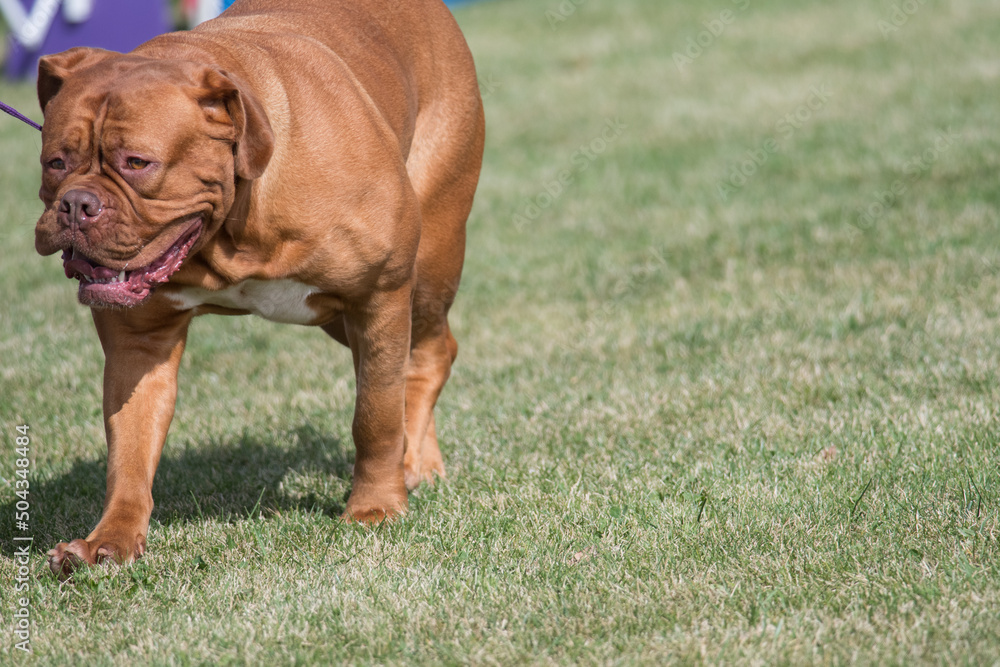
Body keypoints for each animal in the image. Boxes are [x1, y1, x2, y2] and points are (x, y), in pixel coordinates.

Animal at [32, 0, 484, 580]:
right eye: (55, 162)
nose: (75, 204)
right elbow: (129, 450)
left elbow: (375, 416)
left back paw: (415, 464)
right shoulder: (138, 345)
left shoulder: (380, 296)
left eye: (137, 163)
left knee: (429, 355)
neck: (233, 230)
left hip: (426, 269)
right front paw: (109, 540)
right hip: (342, 319)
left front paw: (376, 508)